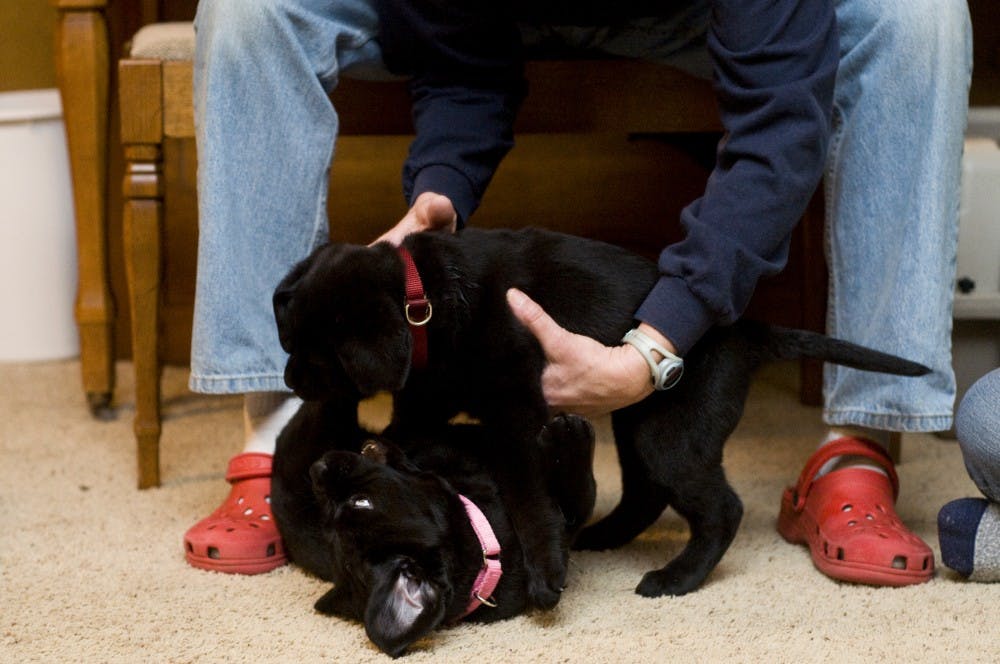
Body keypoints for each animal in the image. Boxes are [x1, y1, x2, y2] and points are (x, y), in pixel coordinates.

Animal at [272, 227, 928, 600]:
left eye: (317, 355)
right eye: (289, 339)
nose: (288, 382)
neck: (428, 300)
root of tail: (746, 331)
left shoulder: (517, 410)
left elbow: (527, 494)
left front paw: (543, 568)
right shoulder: (429, 397)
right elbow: (409, 431)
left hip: (668, 433)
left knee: (722, 509)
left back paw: (676, 578)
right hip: (639, 425)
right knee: (646, 494)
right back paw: (601, 537)